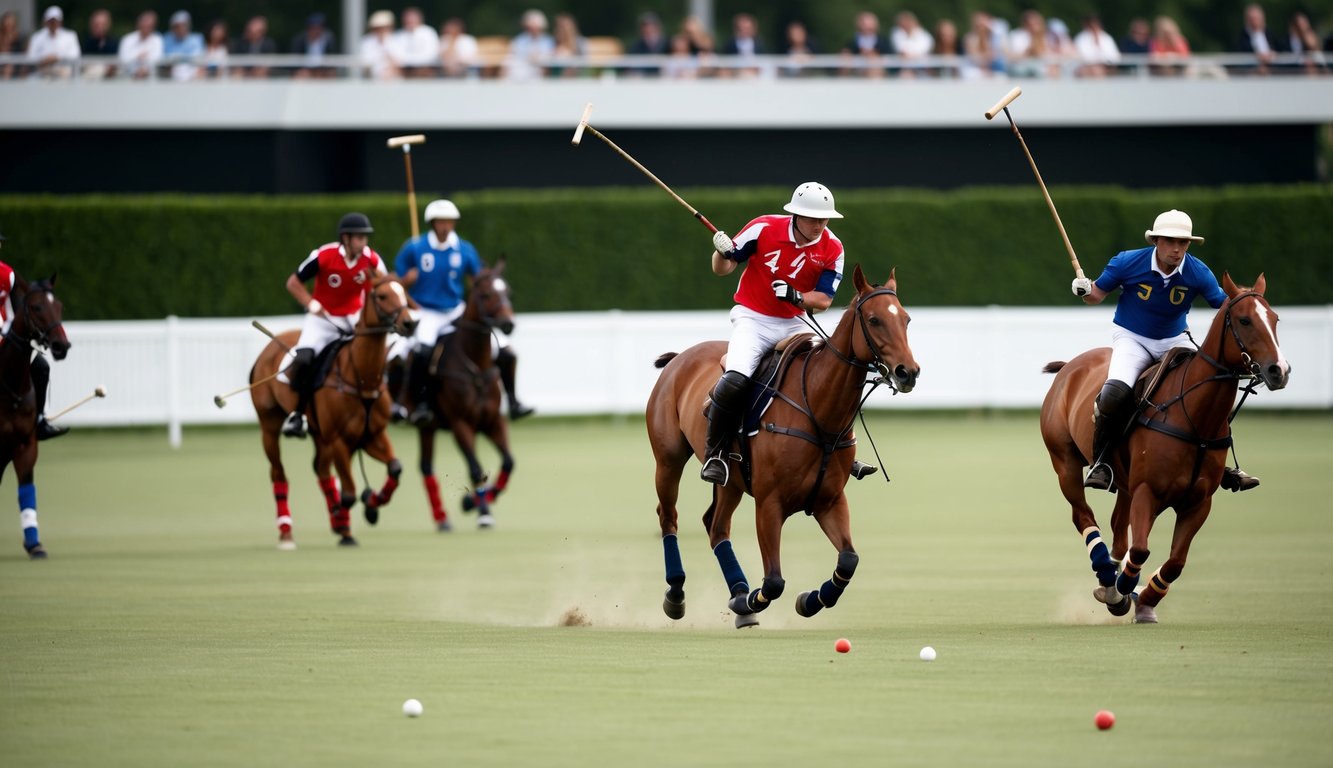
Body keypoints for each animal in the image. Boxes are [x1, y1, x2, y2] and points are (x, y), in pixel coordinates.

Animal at [250, 273, 415, 549]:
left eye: (403, 292)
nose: (410, 323)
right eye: (382, 296)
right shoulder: (340, 440)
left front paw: (371, 504)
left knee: (321, 471)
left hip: (320, 434)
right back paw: (286, 531)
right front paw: (344, 517)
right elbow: (348, 492)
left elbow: (395, 468)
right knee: (278, 472)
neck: (361, 378)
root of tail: (267, 350)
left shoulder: (372, 435)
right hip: (270, 424)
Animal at [415, 261, 514, 530]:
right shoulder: (460, 423)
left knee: (425, 466)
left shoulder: (492, 421)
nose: (508, 324)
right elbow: (476, 469)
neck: (476, 366)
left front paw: (473, 503)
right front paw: (479, 509)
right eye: (486, 294)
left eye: (507, 292)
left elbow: (508, 462)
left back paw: (442, 517)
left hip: (429, 427)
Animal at [642, 266, 917, 626]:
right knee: (668, 516)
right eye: (873, 320)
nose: (908, 372)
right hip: (669, 458)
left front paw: (809, 601)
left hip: (731, 480)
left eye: (907, 319)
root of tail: (680, 357)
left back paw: (738, 593)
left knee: (716, 526)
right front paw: (752, 600)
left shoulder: (830, 500)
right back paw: (678, 594)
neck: (819, 411)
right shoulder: (769, 503)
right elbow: (773, 582)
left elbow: (848, 560)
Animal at [1039, 273, 1290, 621]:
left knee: (1119, 532)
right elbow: (1141, 549)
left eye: (1275, 318)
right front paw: (1125, 590)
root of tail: (1070, 366)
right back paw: (1109, 581)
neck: (1196, 421)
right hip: (1065, 462)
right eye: (1244, 320)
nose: (1279, 371)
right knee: (1085, 517)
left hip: (1125, 484)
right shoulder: (1148, 490)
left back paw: (1114, 584)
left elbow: (1175, 563)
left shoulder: (1198, 502)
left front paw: (1145, 600)